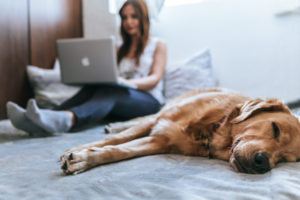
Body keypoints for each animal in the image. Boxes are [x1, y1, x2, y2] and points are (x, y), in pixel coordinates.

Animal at [59, 88, 300, 174]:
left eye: (287, 159)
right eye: (275, 128)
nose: (263, 163)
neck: (211, 128)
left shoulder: (158, 141)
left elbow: (119, 150)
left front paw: (84, 159)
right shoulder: (159, 121)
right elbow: (121, 138)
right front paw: (78, 150)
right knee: (138, 120)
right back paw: (114, 124)